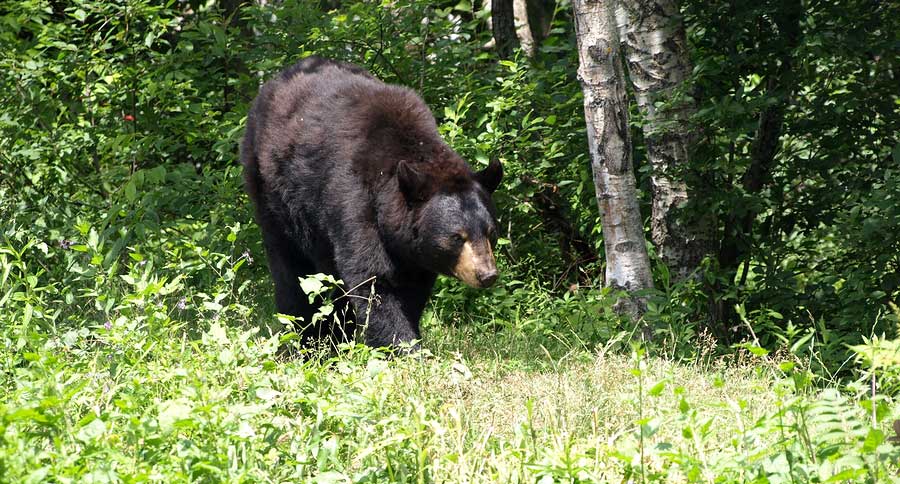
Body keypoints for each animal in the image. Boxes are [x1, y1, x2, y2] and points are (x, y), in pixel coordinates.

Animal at [241, 56, 503, 349]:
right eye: (457, 237)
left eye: (491, 232)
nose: (487, 275)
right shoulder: (354, 200)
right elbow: (374, 280)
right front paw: (403, 347)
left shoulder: (414, 249)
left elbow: (413, 287)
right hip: (271, 194)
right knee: (293, 271)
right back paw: (307, 338)